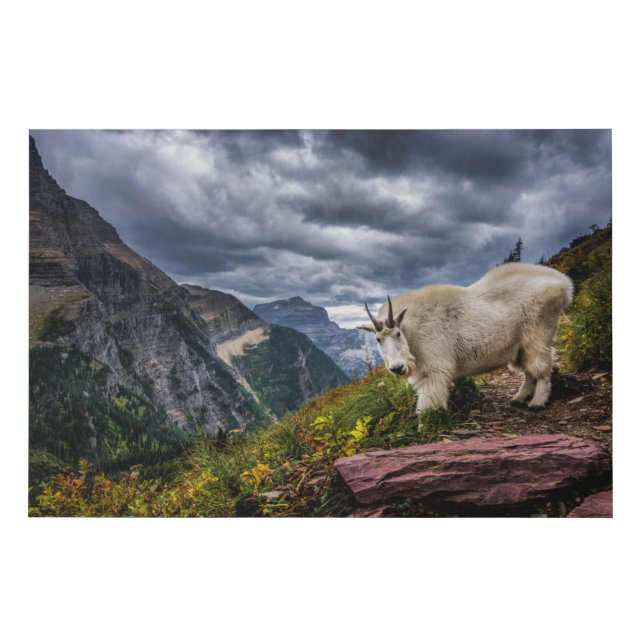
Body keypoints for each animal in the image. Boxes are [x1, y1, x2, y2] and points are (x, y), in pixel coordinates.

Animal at [357, 263, 573, 419]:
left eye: (397, 334)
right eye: (377, 339)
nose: (397, 368)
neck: (412, 330)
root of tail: (563, 284)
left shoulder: (434, 369)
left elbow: (427, 405)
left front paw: (426, 428)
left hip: (538, 334)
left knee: (541, 369)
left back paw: (537, 402)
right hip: (519, 345)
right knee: (528, 371)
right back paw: (518, 398)